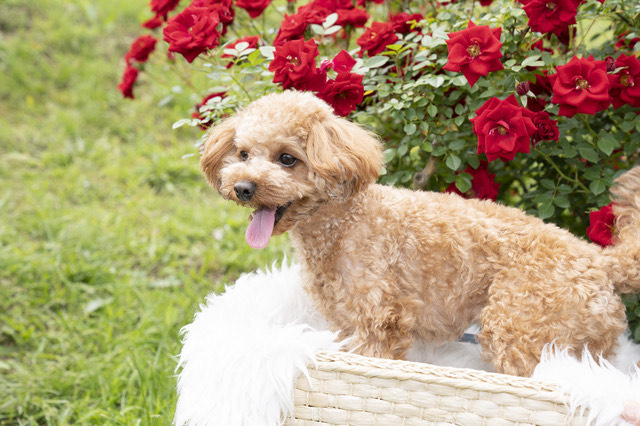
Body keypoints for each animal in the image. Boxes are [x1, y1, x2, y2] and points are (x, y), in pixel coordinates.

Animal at [200, 90, 640, 376]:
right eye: (242, 154)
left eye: (288, 159)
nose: (243, 187)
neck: (345, 223)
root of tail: (601, 261)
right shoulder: (345, 322)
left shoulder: (377, 323)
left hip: (521, 325)